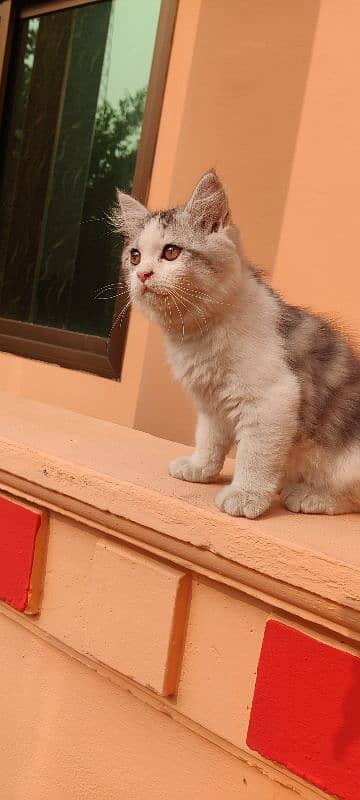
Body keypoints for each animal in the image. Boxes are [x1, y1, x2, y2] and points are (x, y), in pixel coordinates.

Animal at [114, 172, 360, 520]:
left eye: (171, 252)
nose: (143, 275)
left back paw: (309, 495)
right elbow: (209, 441)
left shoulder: (272, 400)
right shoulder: (211, 404)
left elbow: (254, 457)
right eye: (134, 256)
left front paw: (245, 495)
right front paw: (200, 469)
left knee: (350, 497)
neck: (198, 334)